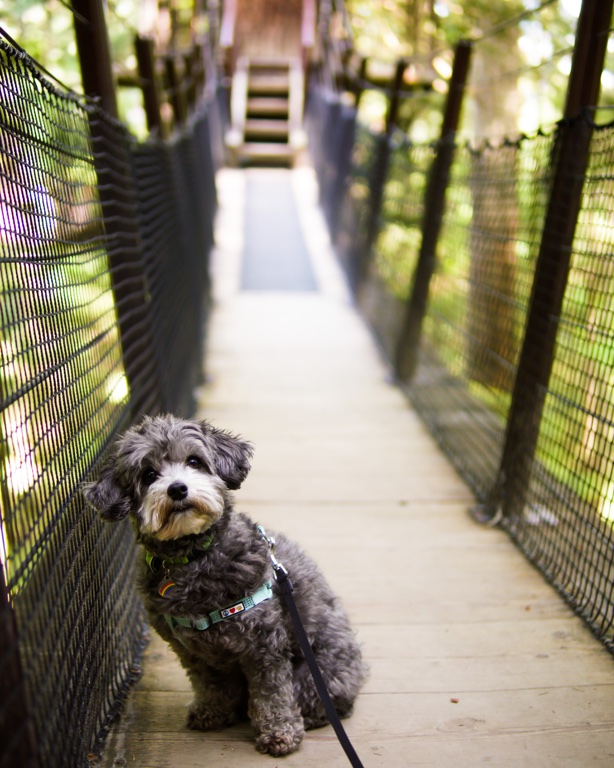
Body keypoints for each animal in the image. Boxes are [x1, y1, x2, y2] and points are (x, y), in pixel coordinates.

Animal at [85, 414, 368, 756]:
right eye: (149, 474)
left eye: (194, 461)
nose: (177, 488)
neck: (193, 558)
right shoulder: (190, 650)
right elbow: (209, 684)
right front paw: (213, 712)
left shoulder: (265, 646)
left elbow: (272, 693)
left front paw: (280, 733)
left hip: (317, 675)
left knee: (325, 702)